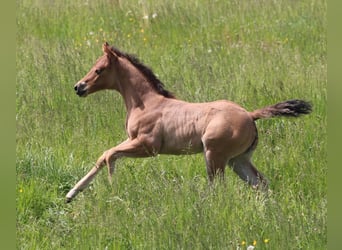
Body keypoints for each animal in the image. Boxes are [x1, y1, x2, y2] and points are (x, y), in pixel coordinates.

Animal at [65, 42, 312, 203]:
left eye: (99, 69)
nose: (78, 87)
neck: (146, 102)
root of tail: (251, 115)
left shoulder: (147, 146)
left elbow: (109, 155)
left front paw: (112, 185)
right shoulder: (131, 139)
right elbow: (103, 155)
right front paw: (71, 194)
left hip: (215, 156)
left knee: (219, 188)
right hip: (238, 160)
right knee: (261, 184)